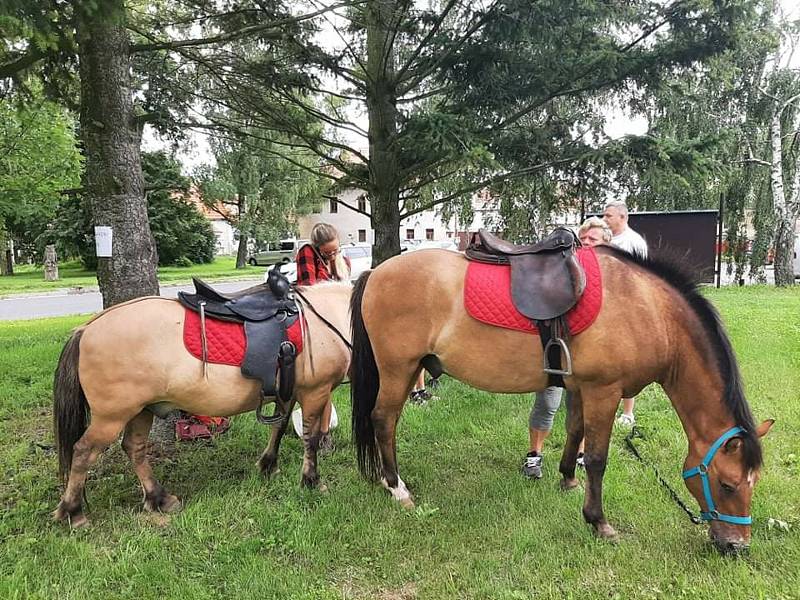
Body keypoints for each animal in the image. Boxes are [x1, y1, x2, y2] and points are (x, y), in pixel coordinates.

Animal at [50, 280, 350, 524]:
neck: (329, 315)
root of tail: (86, 329)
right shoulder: (315, 391)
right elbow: (310, 438)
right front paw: (311, 481)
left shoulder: (289, 393)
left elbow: (279, 427)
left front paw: (268, 465)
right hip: (112, 417)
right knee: (83, 452)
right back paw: (73, 511)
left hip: (141, 410)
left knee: (134, 448)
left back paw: (158, 498)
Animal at [350, 245, 776, 552]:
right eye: (728, 485)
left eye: (753, 483)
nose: (737, 546)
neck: (648, 310)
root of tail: (374, 272)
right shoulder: (605, 391)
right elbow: (599, 459)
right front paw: (599, 521)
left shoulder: (582, 389)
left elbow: (574, 433)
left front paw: (568, 479)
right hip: (399, 370)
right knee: (383, 420)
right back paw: (397, 488)